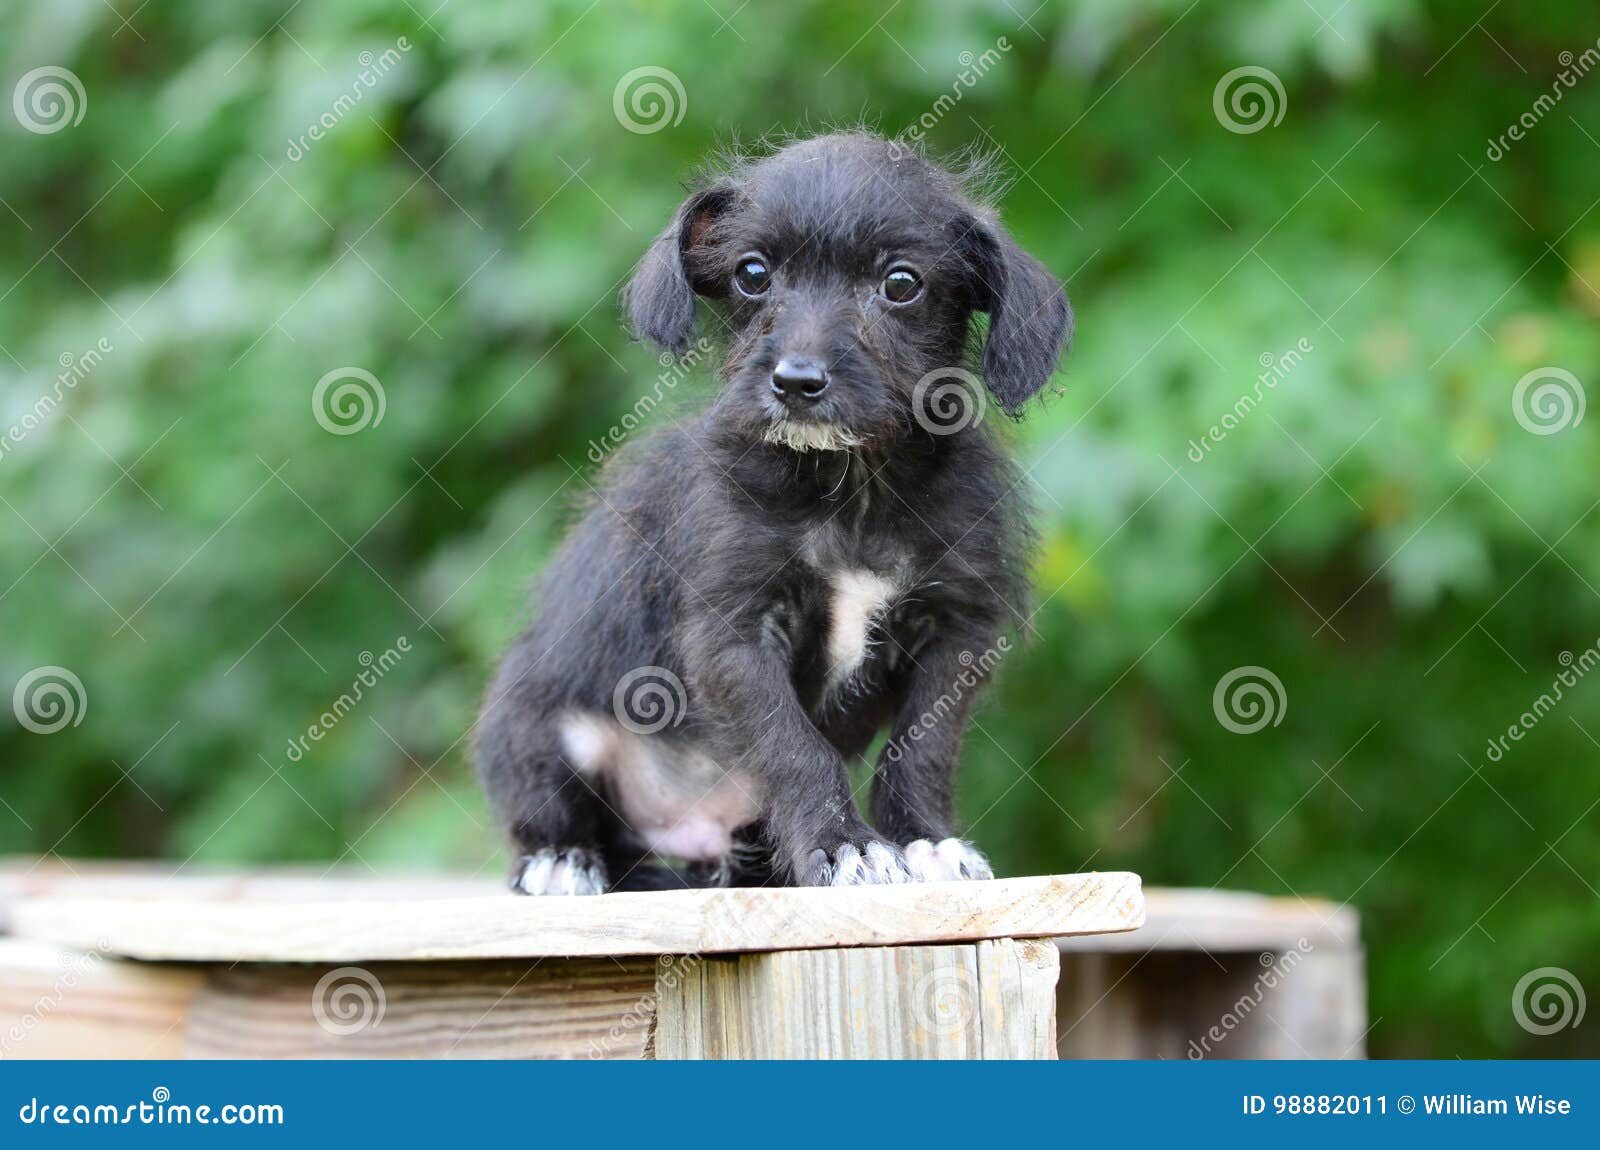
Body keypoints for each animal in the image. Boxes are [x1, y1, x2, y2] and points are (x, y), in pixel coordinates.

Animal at [476, 130, 1075, 895]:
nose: (796, 381)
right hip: (536, 726)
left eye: (901, 283)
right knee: (555, 817)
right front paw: (847, 847)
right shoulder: (734, 633)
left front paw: (923, 840)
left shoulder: (957, 631)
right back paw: (562, 861)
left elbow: (922, 749)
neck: (853, 487)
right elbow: (795, 748)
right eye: (753, 273)